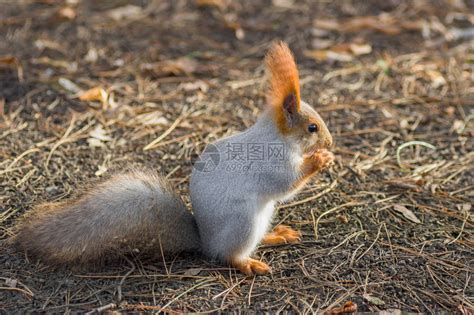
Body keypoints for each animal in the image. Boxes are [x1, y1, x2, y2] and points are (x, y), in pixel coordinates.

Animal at [12, 42, 336, 276]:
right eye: (312, 128)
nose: (330, 141)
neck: (278, 137)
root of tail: (205, 242)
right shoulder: (273, 164)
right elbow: (287, 184)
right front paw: (320, 158)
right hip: (244, 222)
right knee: (230, 256)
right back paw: (248, 263)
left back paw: (275, 236)